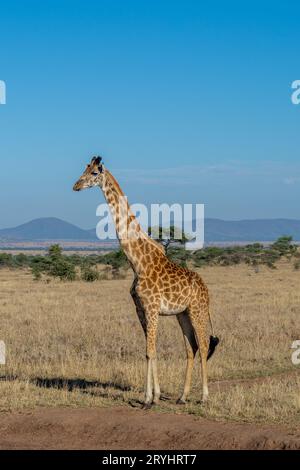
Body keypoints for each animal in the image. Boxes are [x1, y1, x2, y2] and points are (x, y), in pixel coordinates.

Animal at [72, 156, 218, 406]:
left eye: (94, 173)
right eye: (84, 169)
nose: (76, 186)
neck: (137, 262)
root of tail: (206, 288)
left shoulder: (151, 308)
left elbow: (151, 351)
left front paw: (149, 399)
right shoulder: (140, 309)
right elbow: (150, 351)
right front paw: (152, 396)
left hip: (197, 310)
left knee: (204, 344)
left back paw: (204, 397)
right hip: (182, 314)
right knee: (191, 348)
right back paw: (182, 396)